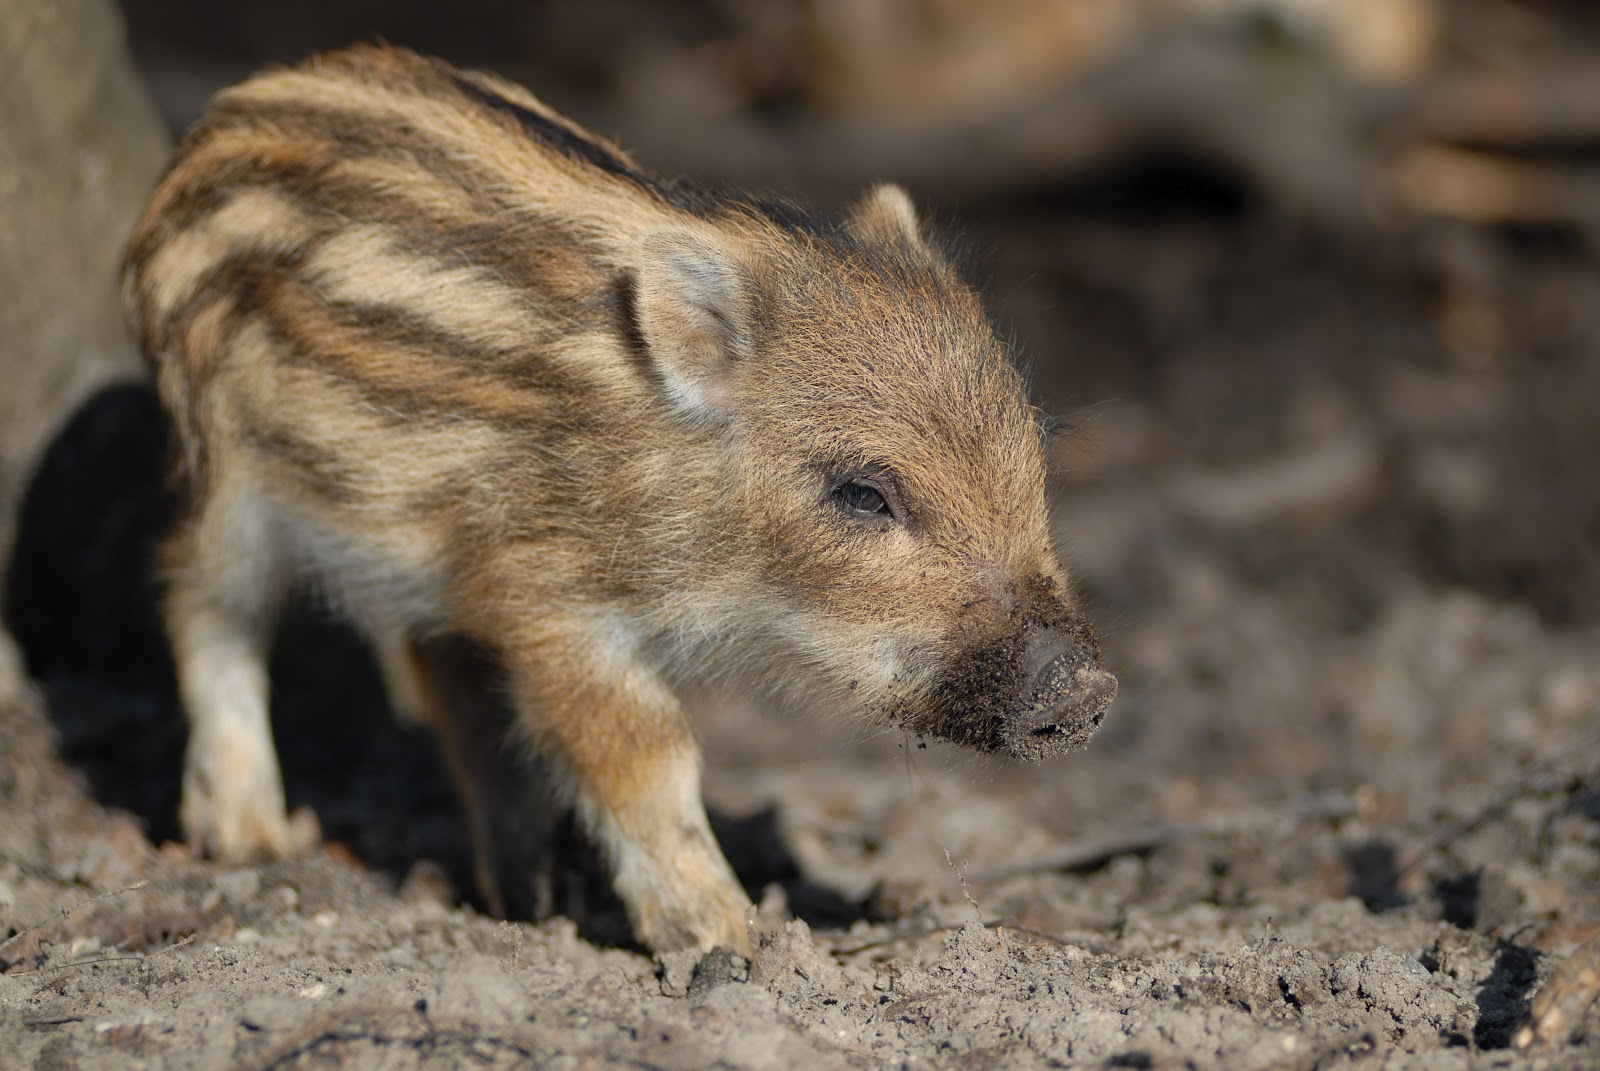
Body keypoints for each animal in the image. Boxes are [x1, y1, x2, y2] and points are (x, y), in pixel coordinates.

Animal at [121, 44, 1116, 953]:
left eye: (1031, 456)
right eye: (864, 495)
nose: (1084, 685)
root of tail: (215, 126)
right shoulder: (547, 594)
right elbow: (649, 749)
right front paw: (729, 934)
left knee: (449, 681)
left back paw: (525, 895)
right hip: (222, 473)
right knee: (200, 600)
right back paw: (251, 836)